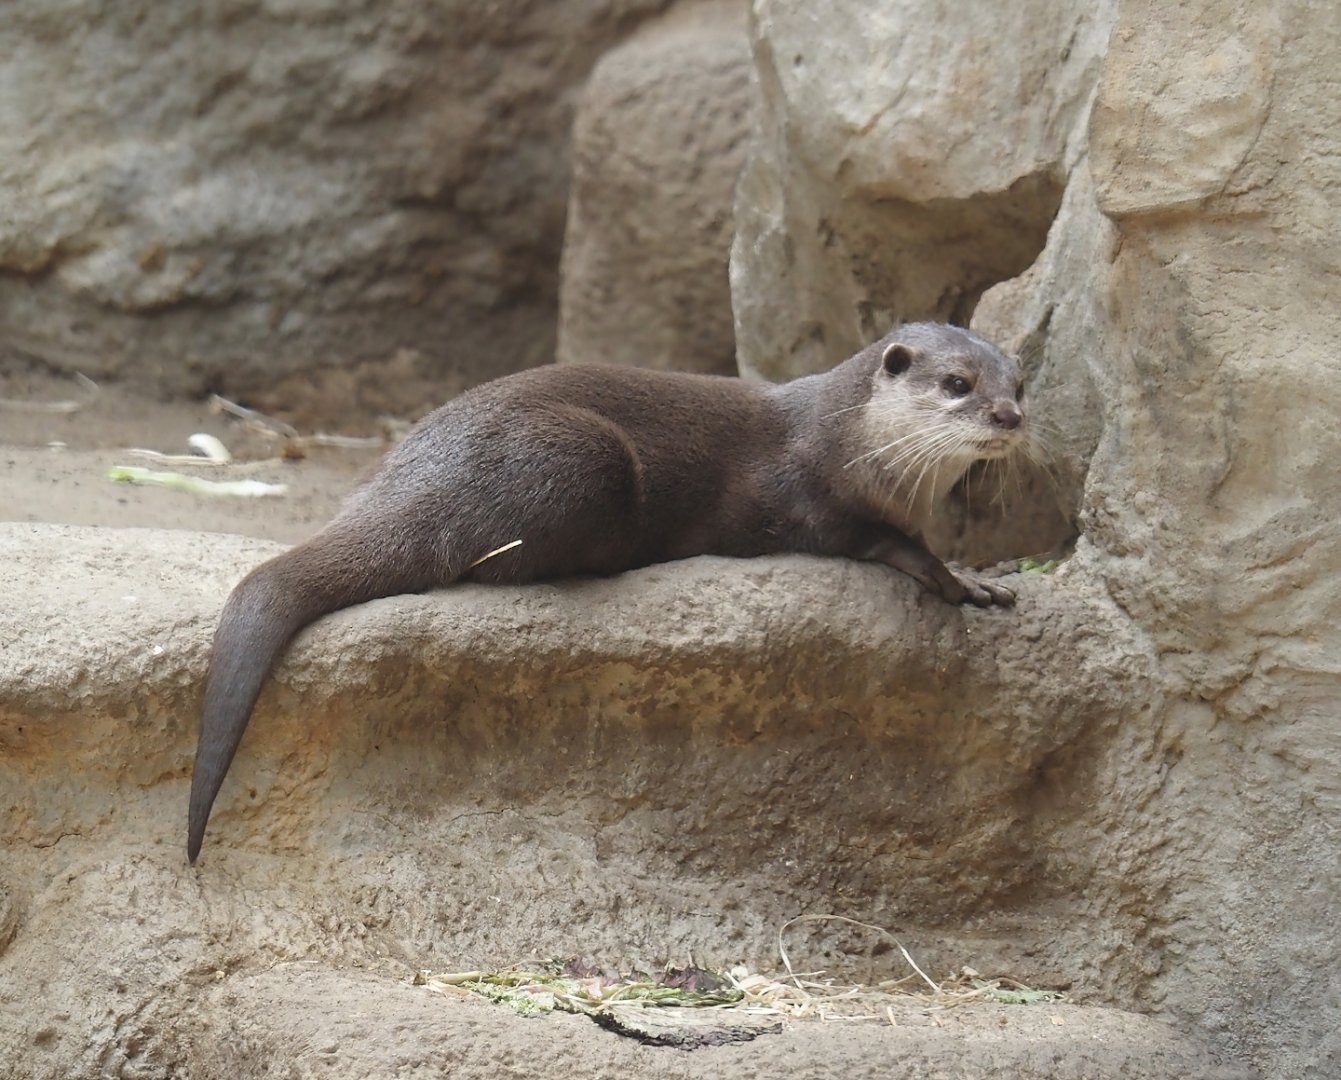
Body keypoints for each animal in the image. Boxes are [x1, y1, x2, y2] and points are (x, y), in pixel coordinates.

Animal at [188, 322, 1027, 863]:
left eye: (1018, 383)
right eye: (956, 384)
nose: (1008, 414)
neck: (856, 446)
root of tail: (419, 478)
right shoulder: (799, 493)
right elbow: (869, 540)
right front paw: (950, 575)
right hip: (582, 456)